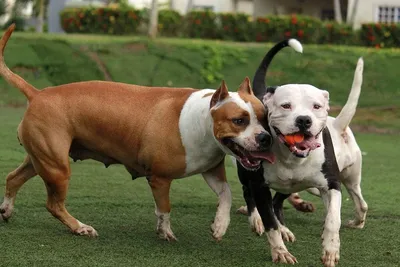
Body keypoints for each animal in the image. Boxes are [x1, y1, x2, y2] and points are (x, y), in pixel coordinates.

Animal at [0, 25, 276, 242]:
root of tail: (37, 93)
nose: (265, 138)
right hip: (57, 167)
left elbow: (226, 193)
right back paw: (80, 228)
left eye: (265, 117)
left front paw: (220, 225)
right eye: (239, 121)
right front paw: (165, 232)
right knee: (54, 204)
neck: (203, 121)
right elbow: (164, 208)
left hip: (41, 159)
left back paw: (6, 210)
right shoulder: (160, 178)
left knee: (13, 178)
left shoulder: (211, 170)